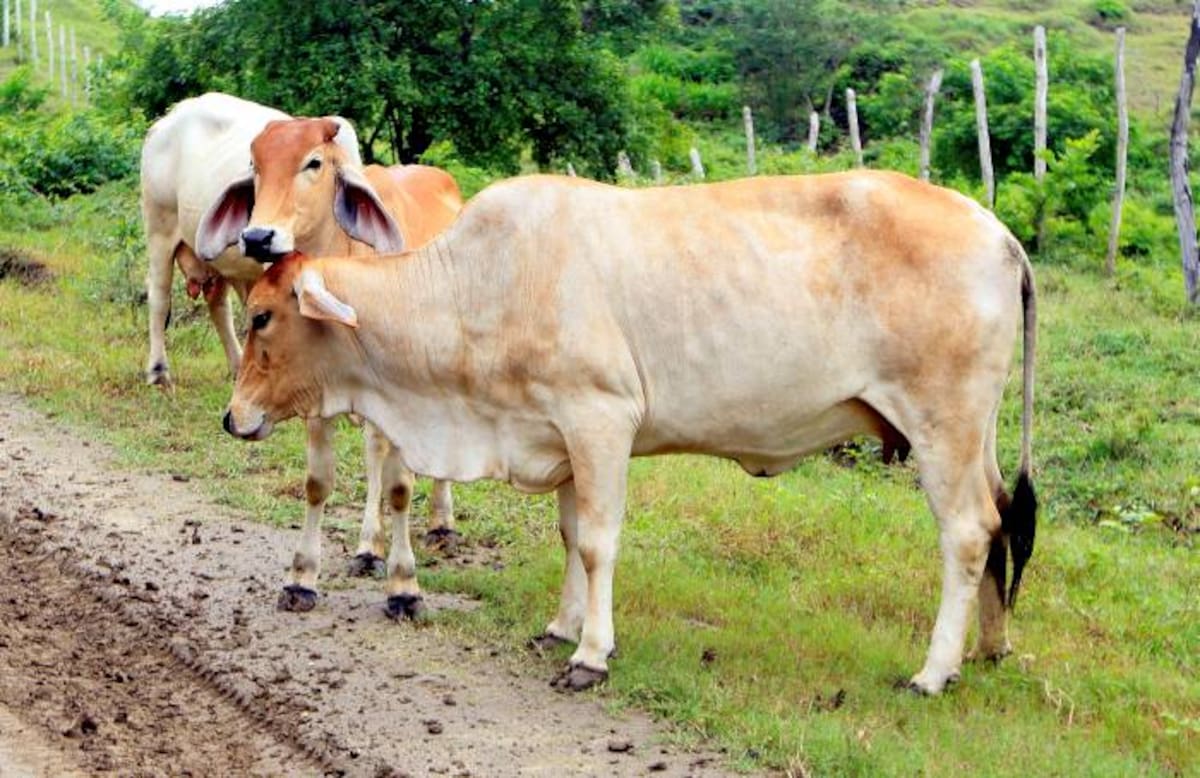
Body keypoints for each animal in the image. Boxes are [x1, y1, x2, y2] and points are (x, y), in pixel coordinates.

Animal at [221, 171, 1038, 696]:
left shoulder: (600, 420)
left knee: (968, 532)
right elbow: (569, 536)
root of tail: (998, 232)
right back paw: (991, 647)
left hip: (942, 424)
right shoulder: (560, 436)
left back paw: (933, 672)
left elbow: (597, 542)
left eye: (263, 317)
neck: (477, 284)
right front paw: (561, 625)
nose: (233, 417)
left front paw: (590, 653)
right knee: (1003, 518)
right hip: (978, 433)